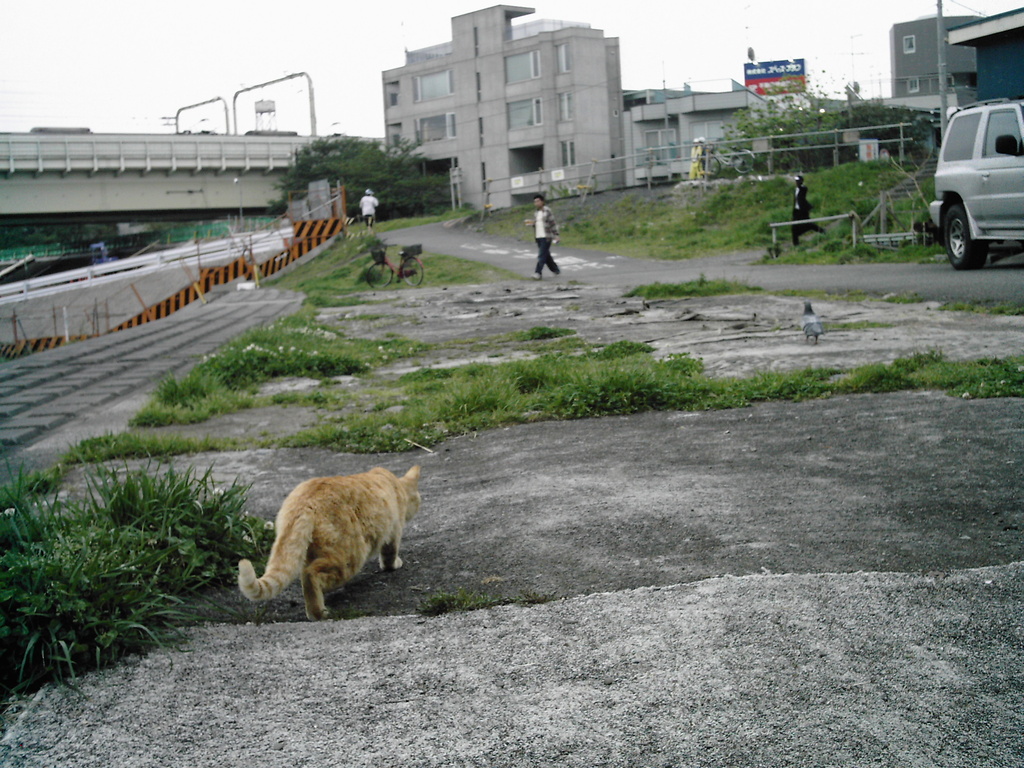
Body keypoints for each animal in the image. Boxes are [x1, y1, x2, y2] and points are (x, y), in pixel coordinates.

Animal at [238, 466, 419, 622]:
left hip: (308, 549)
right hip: (349, 557)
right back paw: (318, 613)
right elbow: (389, 555)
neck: (394, 483)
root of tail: (303, 503)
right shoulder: (394, 531)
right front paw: (394, 564)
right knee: (311, 574)